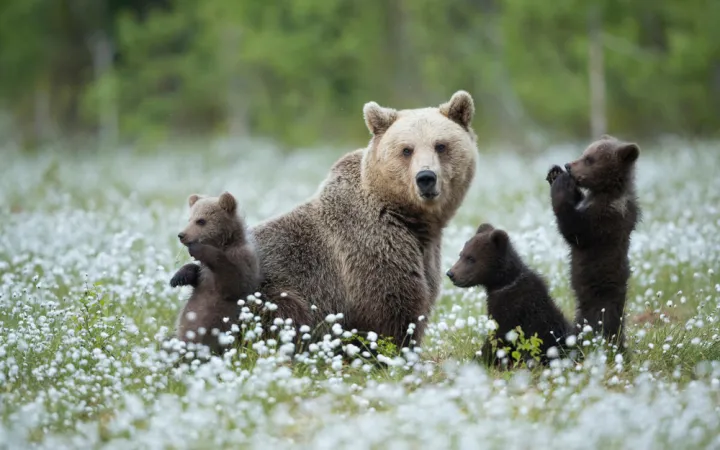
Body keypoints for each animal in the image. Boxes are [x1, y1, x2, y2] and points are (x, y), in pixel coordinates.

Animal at [169, 191, 260, 356]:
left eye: (201, 221)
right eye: (189, 219)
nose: (181, 235)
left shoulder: (243, 261)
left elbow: (233, 282)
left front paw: (199, 249)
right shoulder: (204, 274)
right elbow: (195, 274)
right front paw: (178, 277)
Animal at [248, 91, 478, 352]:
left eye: (440, 145)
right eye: (406, 150)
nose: (426, 178)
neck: (410, 219)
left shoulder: (426, 254)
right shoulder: (371, 249)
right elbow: (392, 312)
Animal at [446, 223, 573, 367]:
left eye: (471, 258)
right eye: (461, 254)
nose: (451, 273)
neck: (502, 283)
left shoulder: (513, 311)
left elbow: (497, 339)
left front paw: (479, 359)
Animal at [546, 134, 641, 351]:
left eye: (590, 159)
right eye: (584, 153)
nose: (568, 165)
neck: (605, 192)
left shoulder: (605, 221)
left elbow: (574, 230)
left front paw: (561, 185)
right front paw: (555, 173)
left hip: (599, 303)